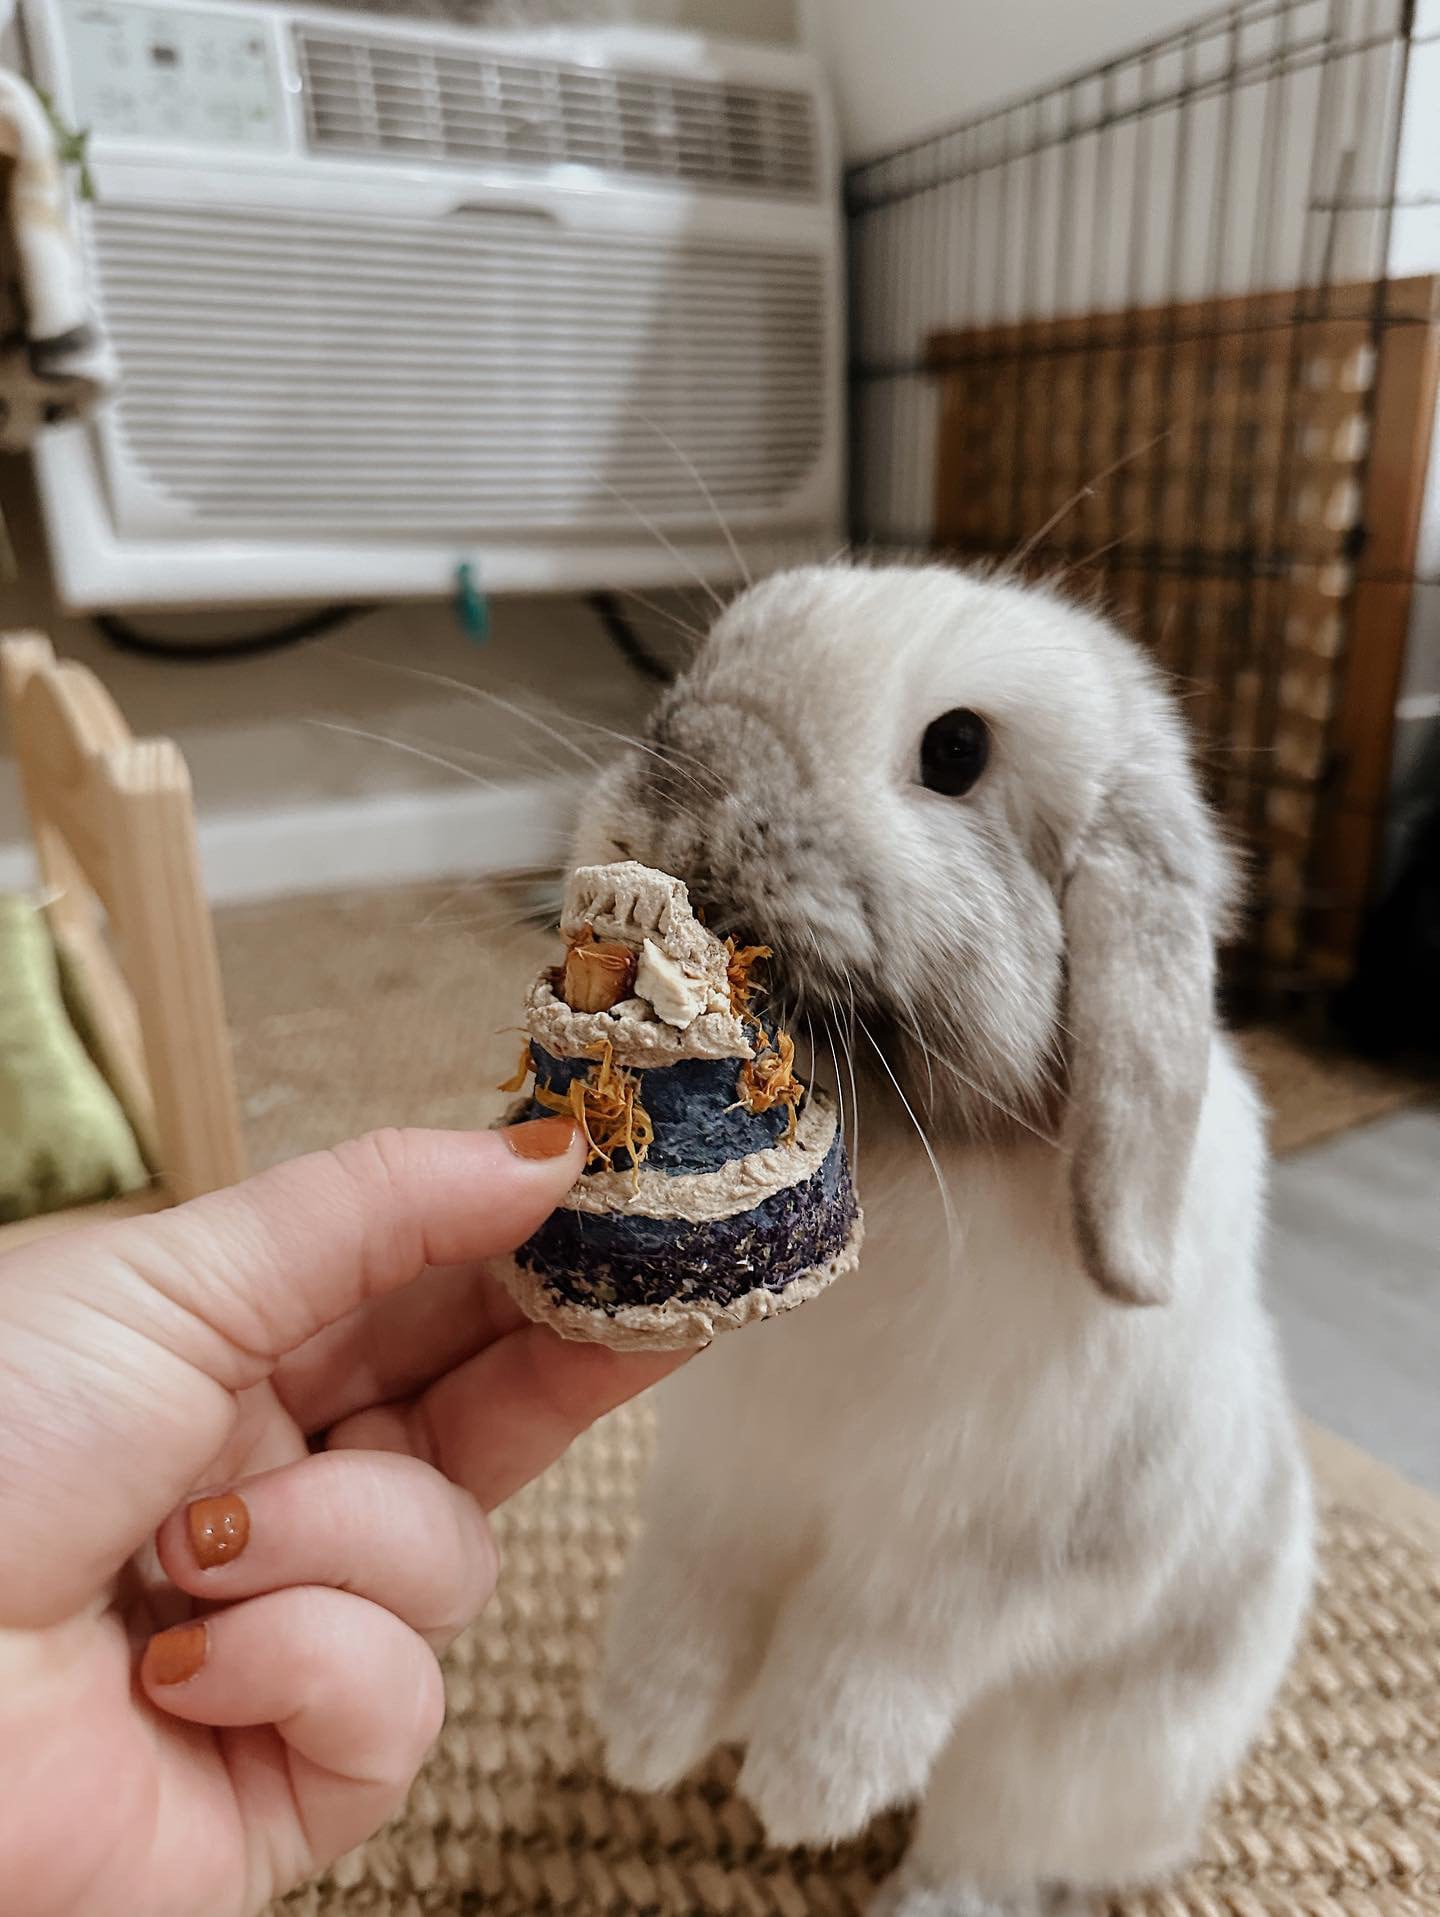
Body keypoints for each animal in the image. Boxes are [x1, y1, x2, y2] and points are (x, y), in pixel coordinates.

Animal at [567, 559, 1311, 1909]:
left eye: (958, 750)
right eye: (706, 661)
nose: (667, 792)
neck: (903, 1171)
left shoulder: (986, 1562)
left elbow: (876, 1652)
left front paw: (802, 1795)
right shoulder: (718, 1485)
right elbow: (690, 1596)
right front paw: (642, 1734)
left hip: (1052, 1772)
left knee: (988, 1852)